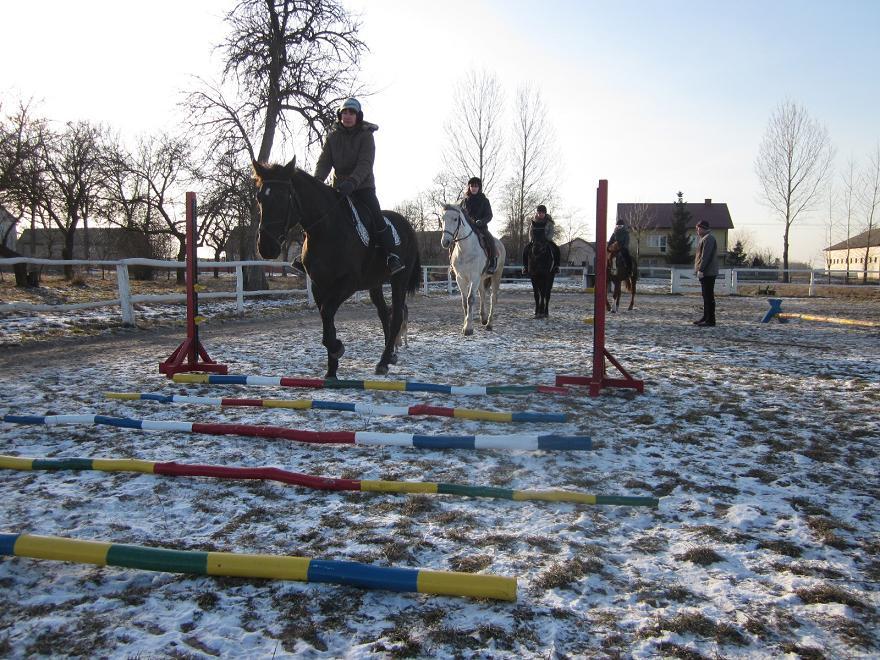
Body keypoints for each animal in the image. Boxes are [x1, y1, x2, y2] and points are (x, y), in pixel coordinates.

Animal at [253, 157, 422, 378]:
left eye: (283, 197)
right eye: (259, 198)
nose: (266, 247)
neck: (326, 229)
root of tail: (407, 225)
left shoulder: (347, 283)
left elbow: (327, 313)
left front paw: (337, 349)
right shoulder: (319, 285)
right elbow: (327, 319)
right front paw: (331, 370)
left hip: (398, 280)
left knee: (397, 317)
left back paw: (384, 361)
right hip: (375, 283)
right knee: (385, 313)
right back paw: (390, 355)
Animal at [438, 202, 506, 336]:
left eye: (455, 219)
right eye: (442, 218)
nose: (445, 242)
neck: (465, 249)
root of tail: (500, 244)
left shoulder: (474, 277)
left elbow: (470, 299)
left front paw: (468, 328)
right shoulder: (460, 278)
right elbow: (464, 301)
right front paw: (465, 324)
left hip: (496, 275)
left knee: (493, 298)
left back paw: (489, 324)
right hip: (481, 278)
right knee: (483, 294)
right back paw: (483, 318)